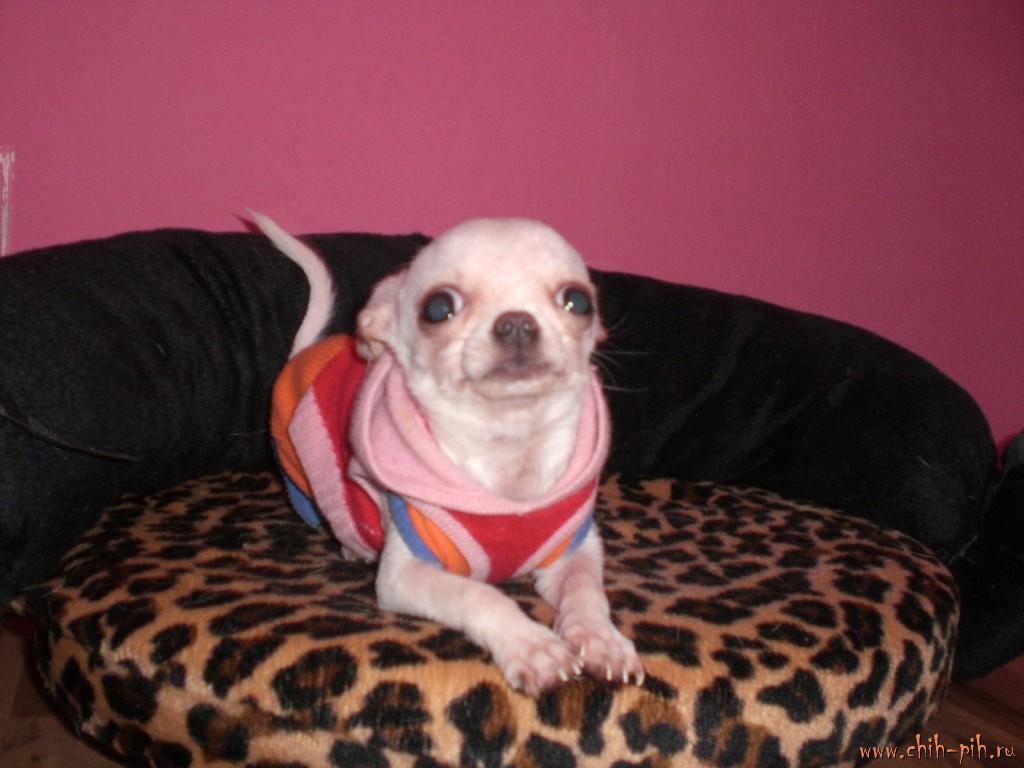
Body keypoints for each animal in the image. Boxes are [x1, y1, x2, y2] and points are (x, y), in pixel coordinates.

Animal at [254, 212, 643, 695]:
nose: (517, 322)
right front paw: (533, 646)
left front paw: (601, 639)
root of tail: (306, 352)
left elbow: (587, 591)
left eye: (577, 301)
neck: (508, 445)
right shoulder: (404, 577)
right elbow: (479, 593)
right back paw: (351, 546)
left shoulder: (574, 552)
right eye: (439, 308)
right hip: (305, 480)